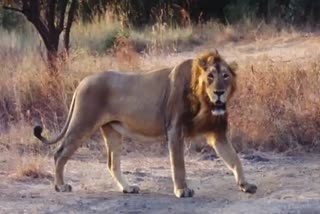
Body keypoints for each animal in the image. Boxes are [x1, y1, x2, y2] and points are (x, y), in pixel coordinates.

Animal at [33, 49, 258, 197]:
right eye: (210, 76)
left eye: (225, 76)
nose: (219, 92)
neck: (205, 101)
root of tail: (82, 82)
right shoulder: (175, 130)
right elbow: (179, 164)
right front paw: (182, 190)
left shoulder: (217, 133)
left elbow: (235, 159)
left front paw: (246, 185)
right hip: (82, 124)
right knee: (59, 153)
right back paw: (61, 186)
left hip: (112, 131)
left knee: (112, 163)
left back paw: (128, 188)